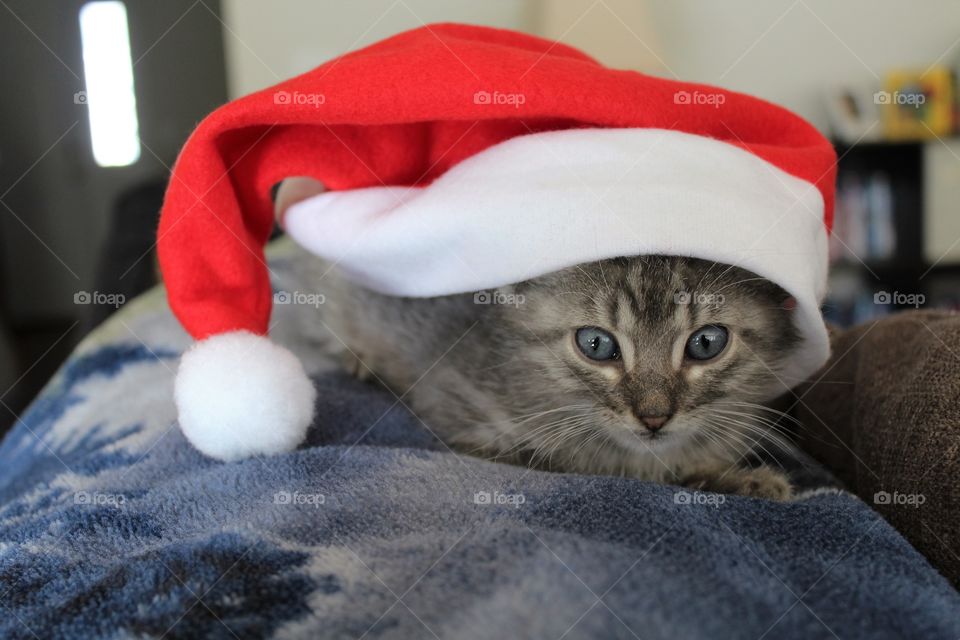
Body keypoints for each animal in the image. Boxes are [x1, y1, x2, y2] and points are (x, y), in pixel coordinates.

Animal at [316, 255, 804, 500]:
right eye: (597, 344)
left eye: (706, 343)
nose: (653, 417)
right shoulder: (469, 420)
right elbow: (598, 466)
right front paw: (741, 480)